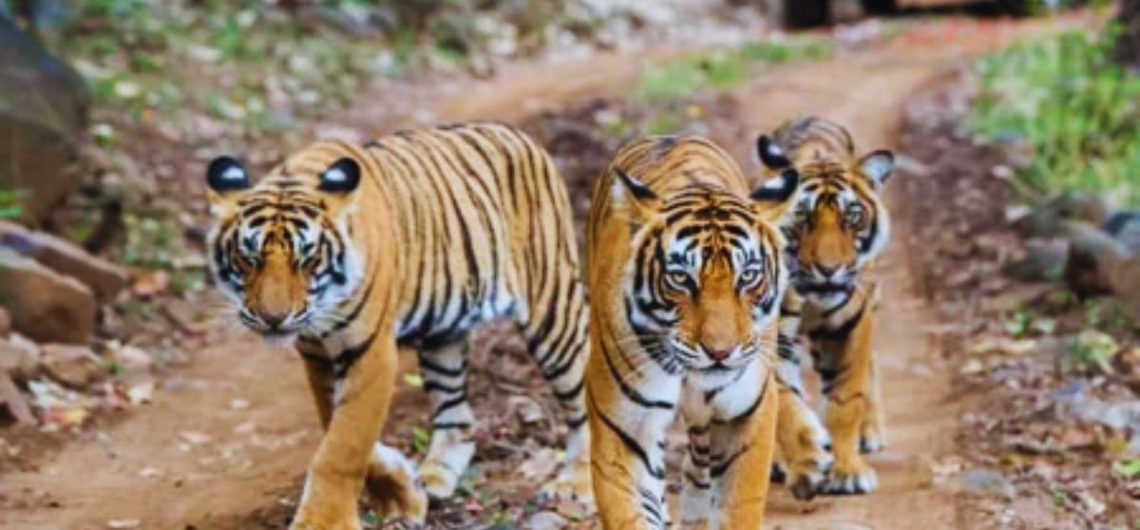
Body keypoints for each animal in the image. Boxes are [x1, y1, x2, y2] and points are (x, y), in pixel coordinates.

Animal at [204, 122, 592, 529]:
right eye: (249, 259)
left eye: (307, 260)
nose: (273, 317)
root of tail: (520, 136)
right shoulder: (318, 356)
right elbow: (337, 426)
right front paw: (404, 493)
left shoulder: (369, 352)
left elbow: (343, 445)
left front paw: (323, 520)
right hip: (443, 337)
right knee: (458, 418)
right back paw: (435, 479)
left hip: (553, 308)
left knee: (584, 398)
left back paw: (574, 485)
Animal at [584, 135, 798, 529]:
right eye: (681, 278)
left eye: (748, 276)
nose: (720, 352)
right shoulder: (622, 428)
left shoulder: (747, 415)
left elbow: (739, 505)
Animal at [754, 116, 895, 496]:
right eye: (802, 219)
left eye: (852, 218)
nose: (829, 269)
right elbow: (785, 402)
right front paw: (808, 460)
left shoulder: (851, 323)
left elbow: (845, 399)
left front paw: (847, 470)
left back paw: (870, 432)